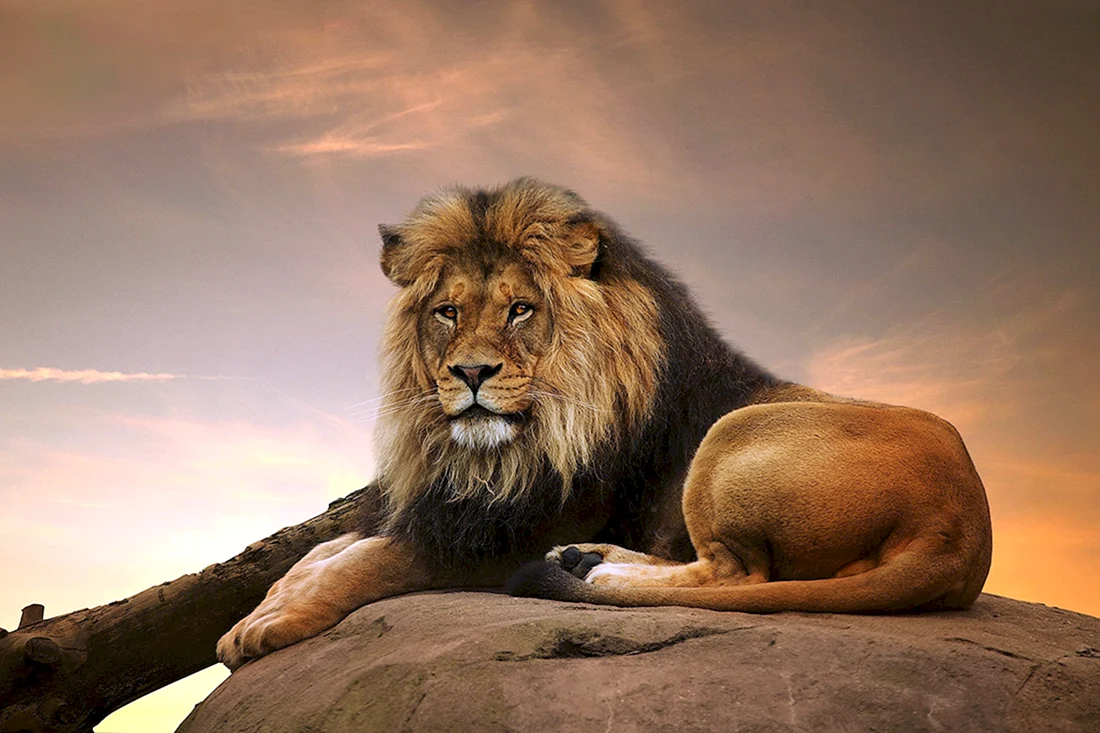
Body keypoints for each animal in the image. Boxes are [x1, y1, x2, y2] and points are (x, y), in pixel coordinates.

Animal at [216, 178, 993, 670]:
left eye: (519, 310)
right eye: (447, 312)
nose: (470, 374)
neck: (498, 454)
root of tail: (961, 529)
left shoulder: (504, 533)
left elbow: (371, 560)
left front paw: (272, 624)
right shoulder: (450, 507)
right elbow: (324, 551)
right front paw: (262, 608)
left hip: (732, 436)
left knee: (734, 573)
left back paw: (589, 566)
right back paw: (588, 561)